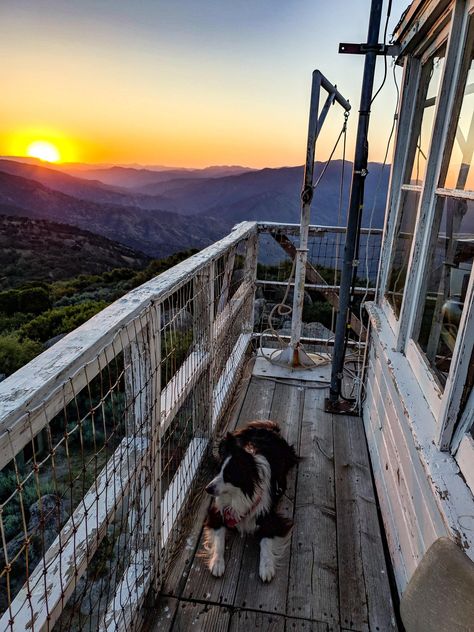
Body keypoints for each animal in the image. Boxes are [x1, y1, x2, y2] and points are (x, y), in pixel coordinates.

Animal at [203, 420, 296, 584]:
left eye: (229, 476)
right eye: (218, 471)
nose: (208, 489)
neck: (240, 494)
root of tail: (267, 428)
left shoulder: (270, 518)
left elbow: (266, 541)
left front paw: (266, 567)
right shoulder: (216, 512)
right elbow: (219, 537)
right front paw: (217, 563)